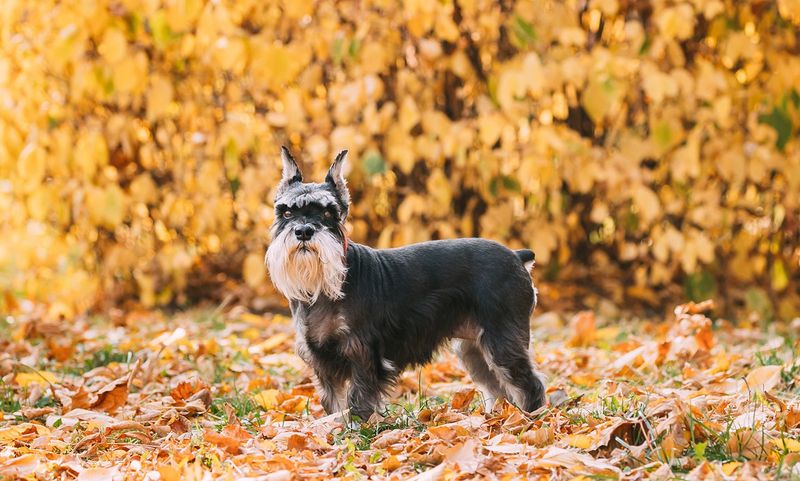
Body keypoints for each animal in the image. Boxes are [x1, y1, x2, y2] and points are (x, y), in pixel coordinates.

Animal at [266, 147, 548, 420]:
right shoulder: (323, 363)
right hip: (474, 349)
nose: (303, 231)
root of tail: (516, 256)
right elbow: (333, 403)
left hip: (502, 342)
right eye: (286, 212)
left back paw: (528, 420)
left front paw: (356, 430)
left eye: (328, 212)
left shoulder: (364, 355)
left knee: (528, 384)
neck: (324, 288)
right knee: (499, 388)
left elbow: (359, 401)